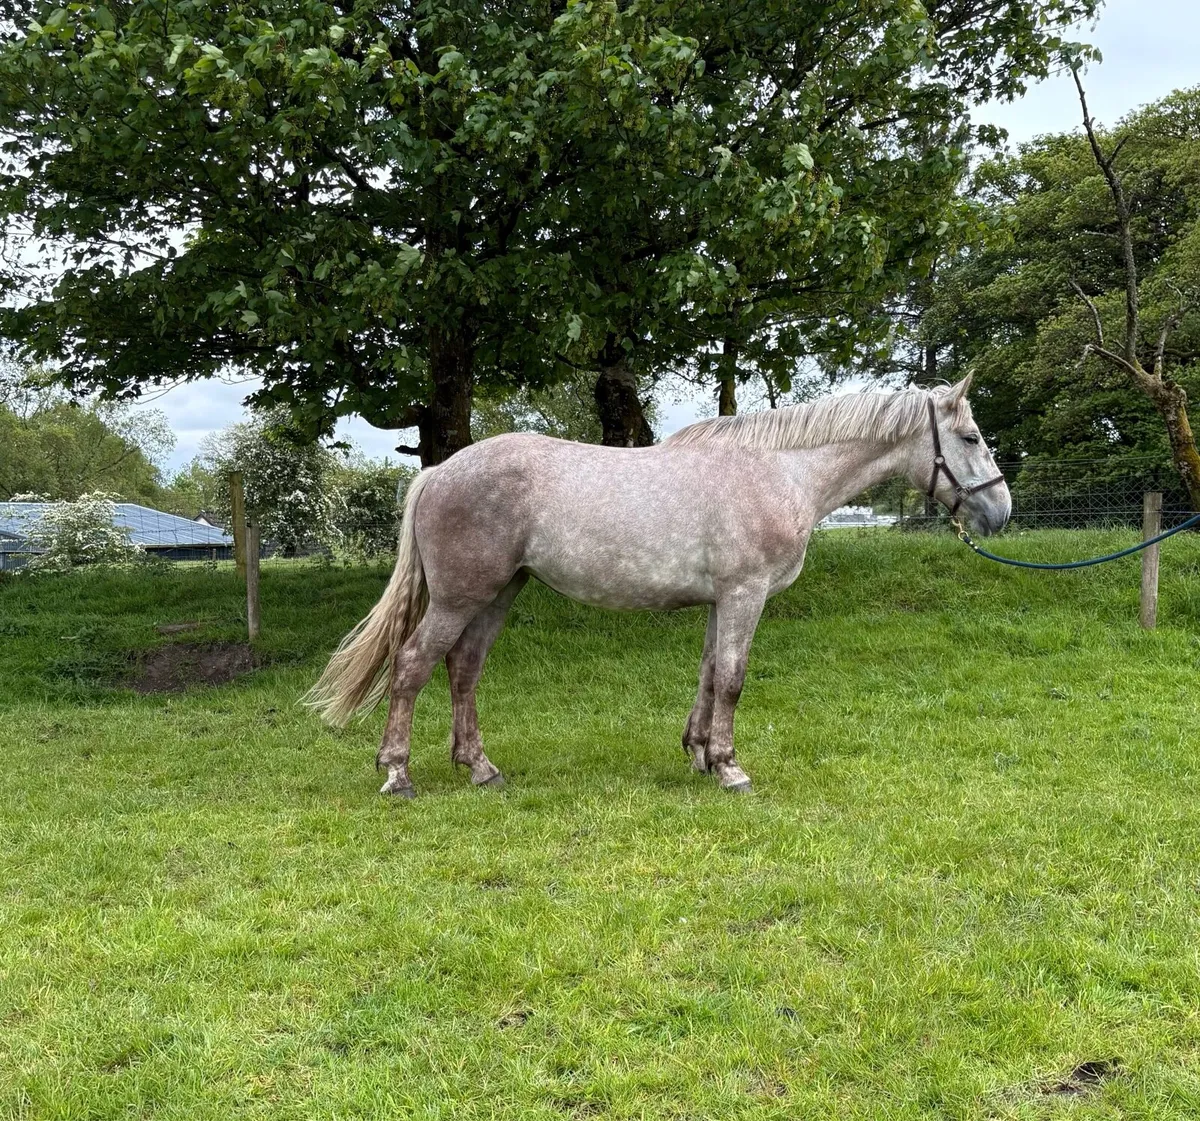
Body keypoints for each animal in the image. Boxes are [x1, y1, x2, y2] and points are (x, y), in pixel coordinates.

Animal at [305, 376, 1010, 797]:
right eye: (971, 436)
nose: (1000, 512)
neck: (779, 471)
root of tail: (440, 472)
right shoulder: (746, 594)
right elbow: (733, 677)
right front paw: (730, 767)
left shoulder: (722, 600)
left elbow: (709, 674)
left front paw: (699, 754)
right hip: (460, 597)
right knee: (413, 666)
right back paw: (397, 773)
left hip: (498, 594)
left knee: (463, 670)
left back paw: (480, 768)